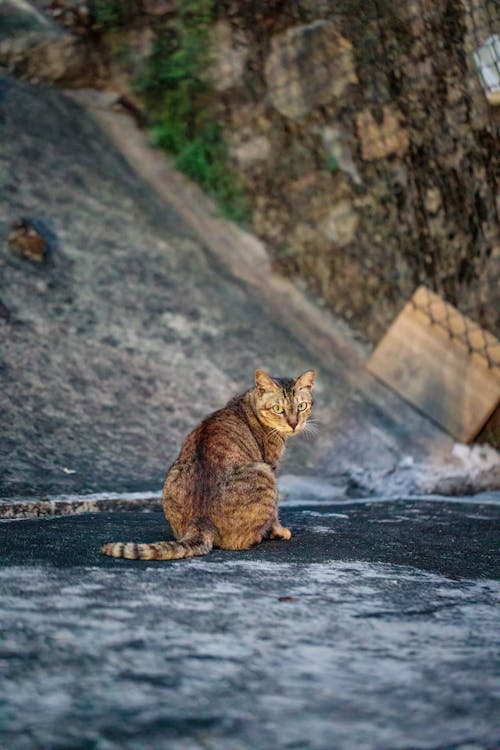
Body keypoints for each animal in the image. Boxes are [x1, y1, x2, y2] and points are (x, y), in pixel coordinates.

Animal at [99, 370, 314, 564]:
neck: (248, 402)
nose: (294, 424)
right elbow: (275, 515)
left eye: (301, 406)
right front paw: (280, 531)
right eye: (278, 409)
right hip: (264, 473)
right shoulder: (271, 465)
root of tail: (201, 521)